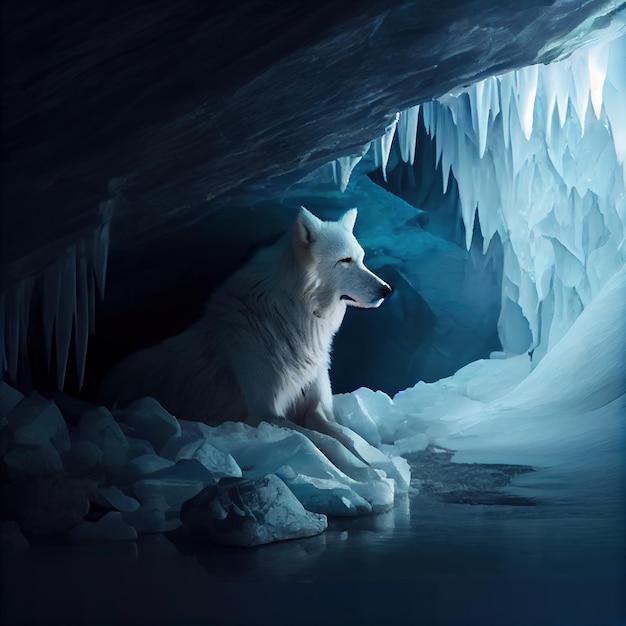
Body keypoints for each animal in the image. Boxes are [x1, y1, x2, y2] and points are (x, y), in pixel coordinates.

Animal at [98, 210, 390, 444]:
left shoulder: (315, 405)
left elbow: (346, 439)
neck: (290, 316)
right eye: (345, 260)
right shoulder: (266, 414)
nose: (387, 290)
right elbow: (322, 444)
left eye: (362, 258)